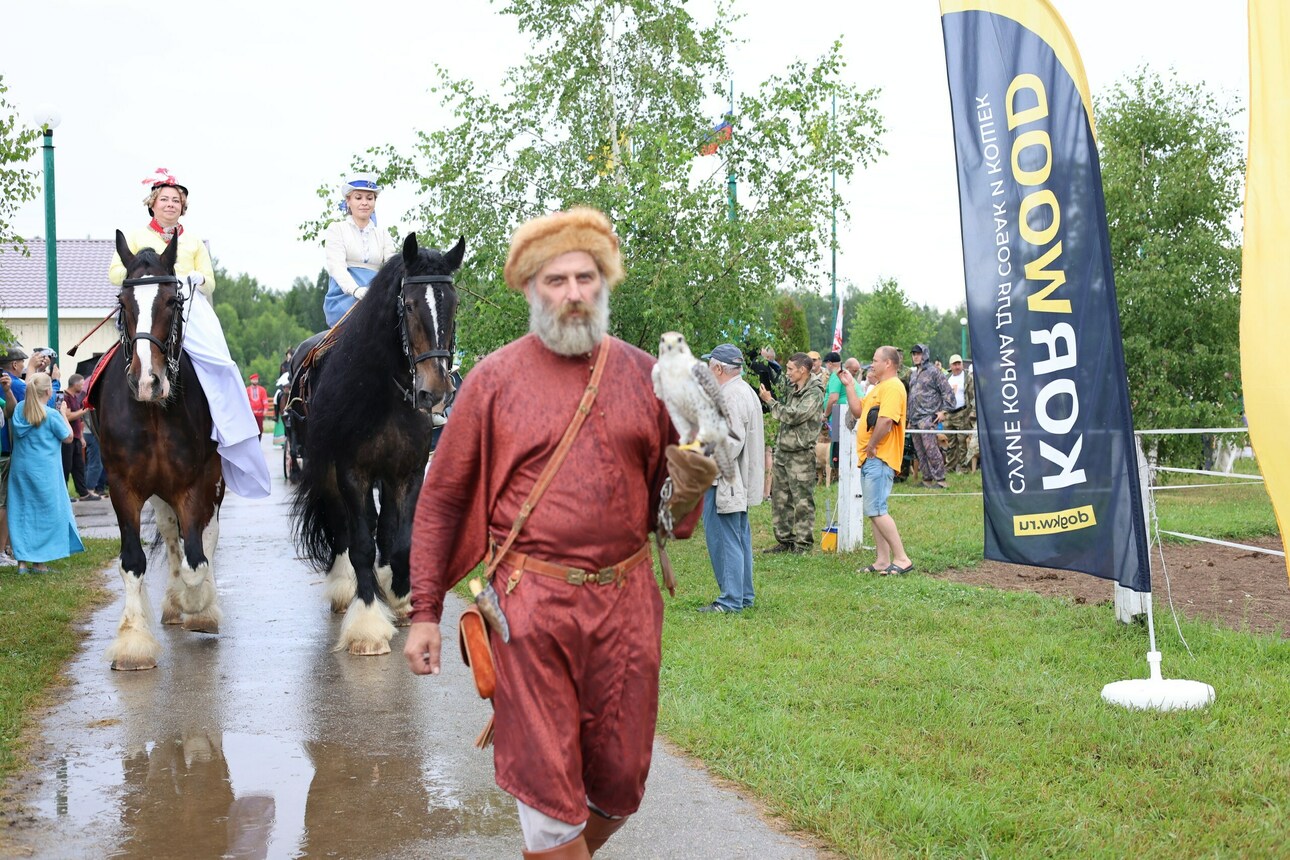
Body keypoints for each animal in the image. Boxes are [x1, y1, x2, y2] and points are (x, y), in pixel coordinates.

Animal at [85, 230, 224, 670]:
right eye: (123, 303)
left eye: (171, 300)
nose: (148, 381)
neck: (153, 412)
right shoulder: (121, 486)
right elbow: (134, 561)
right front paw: (133, 642)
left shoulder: (195, 482)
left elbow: (197, 560)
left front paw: (199, 606)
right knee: (170, 532)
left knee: (207, 536)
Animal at [288, 232, 464, 654]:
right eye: (409, 305)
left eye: (453, 304)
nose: (435, 391)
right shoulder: (353, 472)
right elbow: (361, 544)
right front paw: (367, 623)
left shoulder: (408, 471)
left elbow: (398, 539)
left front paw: (400, 594)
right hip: (329, 473)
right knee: (344, 527)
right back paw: (343, 587)